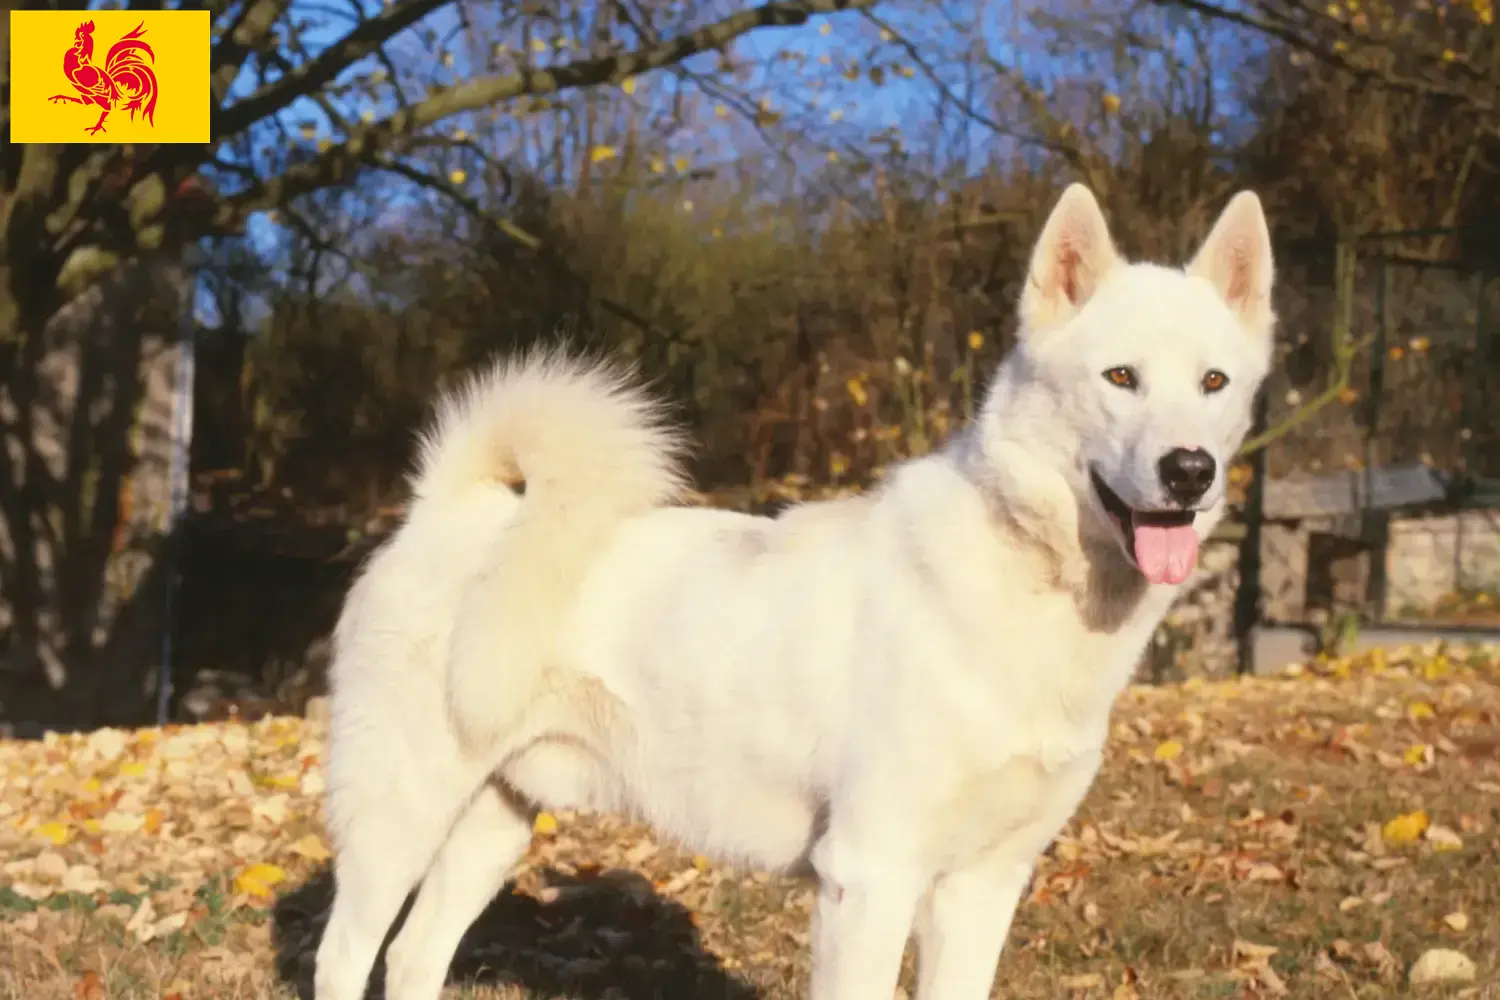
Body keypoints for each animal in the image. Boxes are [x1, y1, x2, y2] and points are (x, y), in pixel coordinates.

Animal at [316, 185, 1278, 1000]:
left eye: (1214, 383)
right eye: (1120, 378)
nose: (1190, 471)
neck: (1025, 583)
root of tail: (451, 507)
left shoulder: (981, 887)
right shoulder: (870, 877)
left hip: (497, 818)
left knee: (413, 955)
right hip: (397, 816)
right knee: (345, 954)